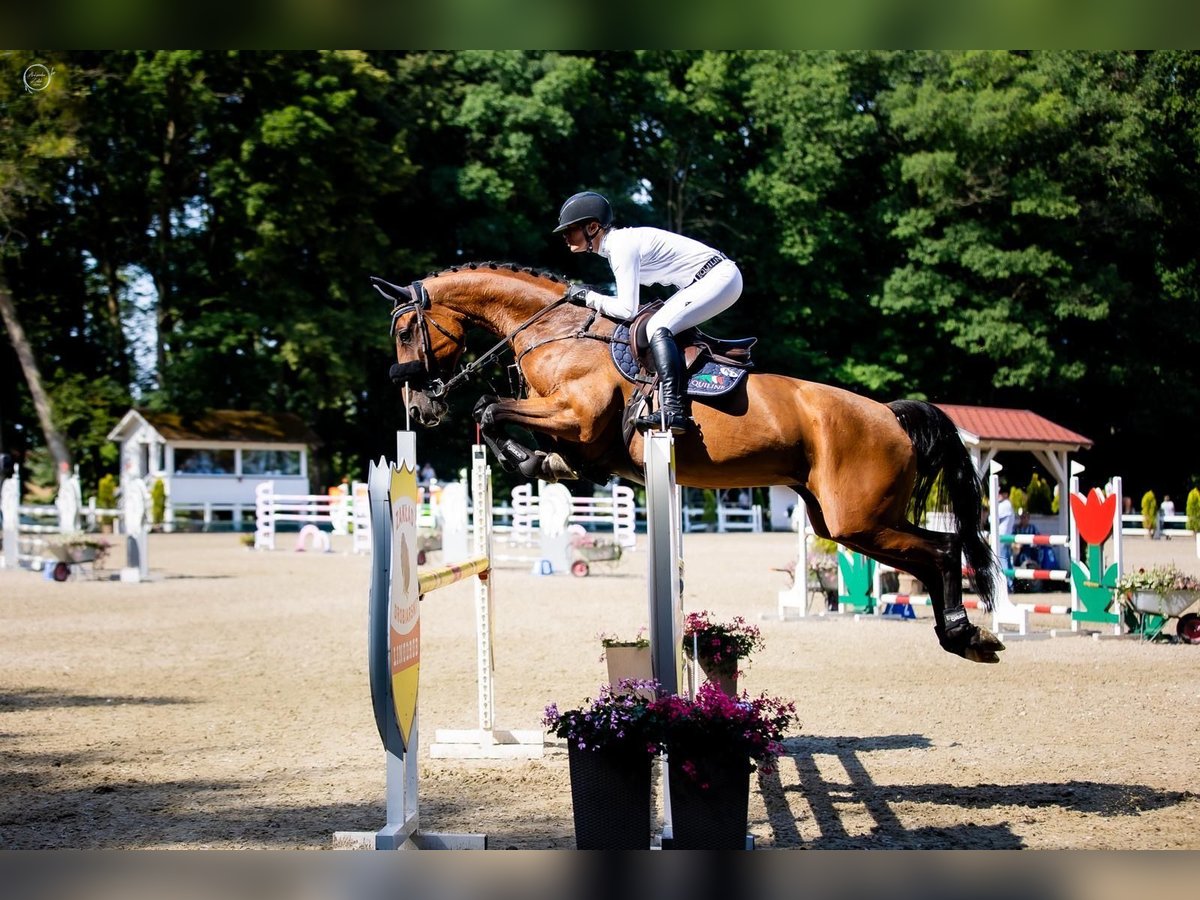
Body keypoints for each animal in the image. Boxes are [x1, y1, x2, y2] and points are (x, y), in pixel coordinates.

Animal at [372, 260, 1003, 662]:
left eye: (404, 331)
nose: (418, 407)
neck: (558, 333)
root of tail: (890, 416)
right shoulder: (571, 429)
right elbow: (501, 420)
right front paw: (542, 466)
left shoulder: (575, 418)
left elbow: (489, 408)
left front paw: (529, 461)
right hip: (841, 522)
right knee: (931, 554)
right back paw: (966, 635)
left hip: (859, 518)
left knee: (942, 549)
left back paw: (965, 634)